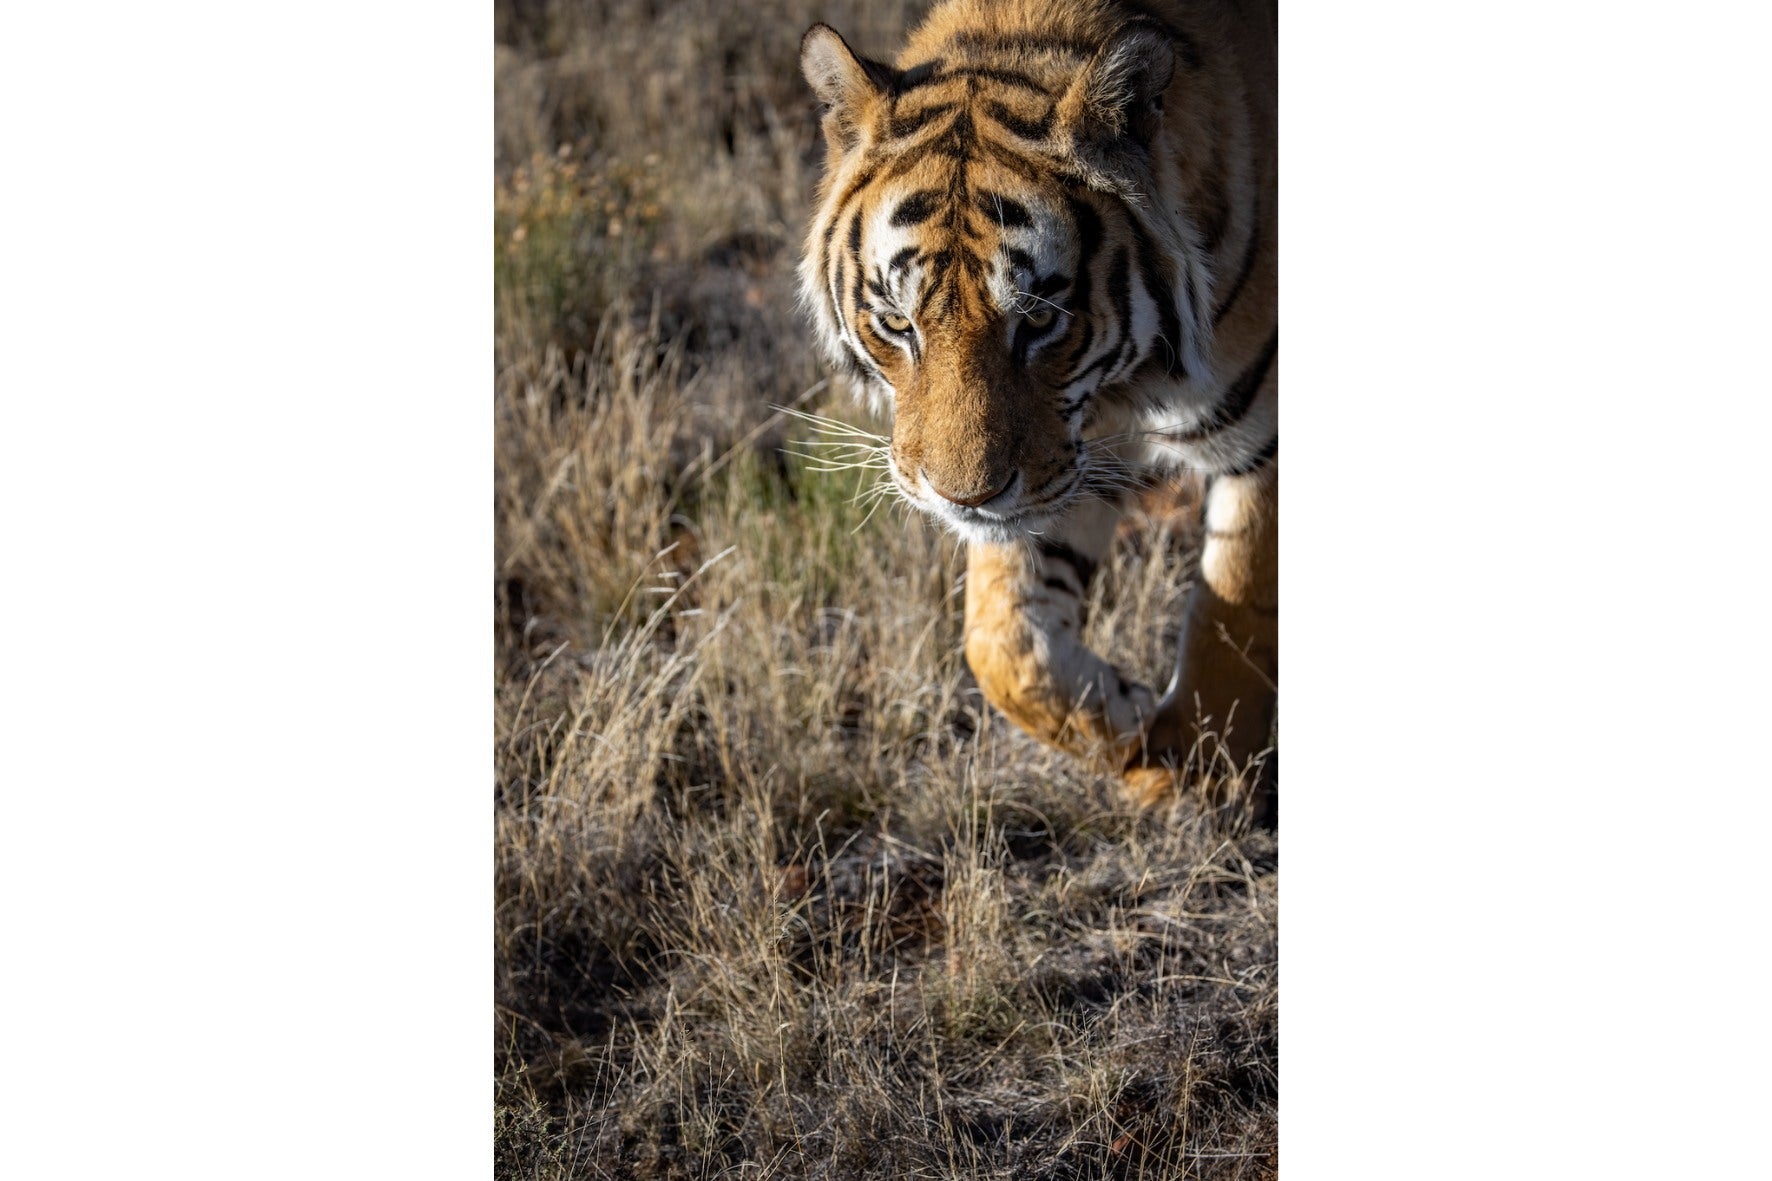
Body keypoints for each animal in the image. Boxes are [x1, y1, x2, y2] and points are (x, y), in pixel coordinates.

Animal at [797, 0, 1276, 810]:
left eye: (1041, 319)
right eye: (897, 322)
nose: (962, 498)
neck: (1128, 386)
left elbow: (1234, 611)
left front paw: (1197, 770)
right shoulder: (1067, 459)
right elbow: (1002, 642)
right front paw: (1125, 719)